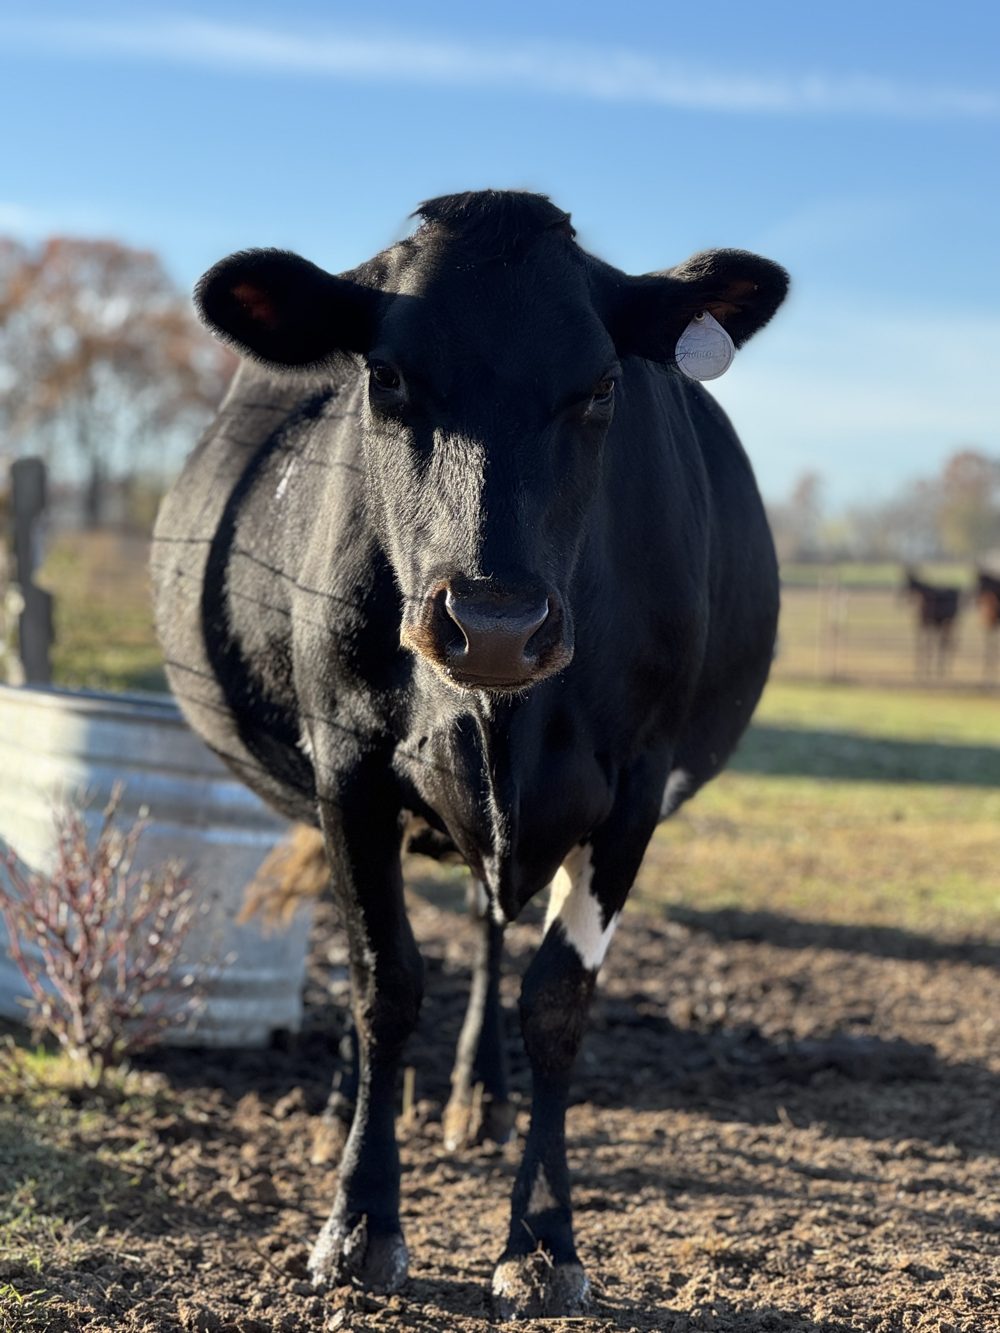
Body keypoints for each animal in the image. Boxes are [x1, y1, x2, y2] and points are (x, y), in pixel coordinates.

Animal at [152, 190, 788, 1319]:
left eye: (602, 385)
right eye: (388, 376)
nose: (494, 624)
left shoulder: (632, 787)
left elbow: (556, 1000)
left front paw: (541, 1241)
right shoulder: (349, 762)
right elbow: (384, 978)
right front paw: (359, 1221)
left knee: (496, 928)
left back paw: (478, 1100)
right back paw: (344, 1106)